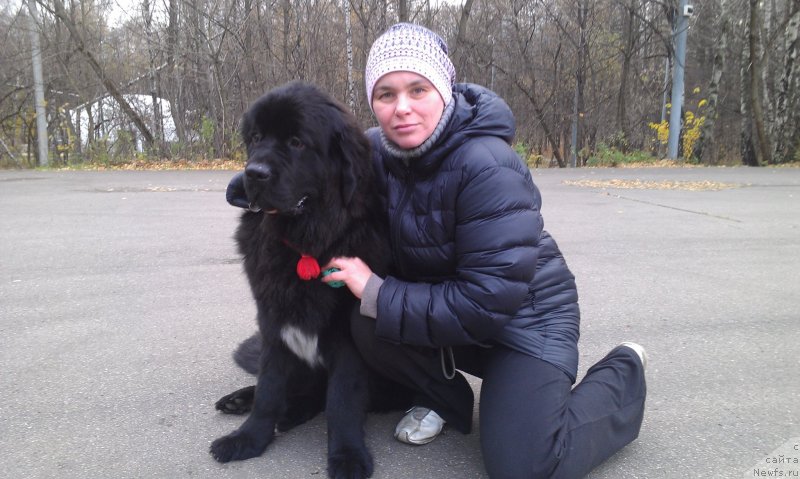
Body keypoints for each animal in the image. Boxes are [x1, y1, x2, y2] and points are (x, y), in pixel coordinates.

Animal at [209, 82, 410, 479]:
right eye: (256, 138)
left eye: (297, 142)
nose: (253, 173)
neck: (307, 243)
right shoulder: (273, 320)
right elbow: (269, 387)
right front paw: (249, 438)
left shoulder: (347, 338)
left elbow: (341, 401)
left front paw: (347, 457)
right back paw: (242, 401)